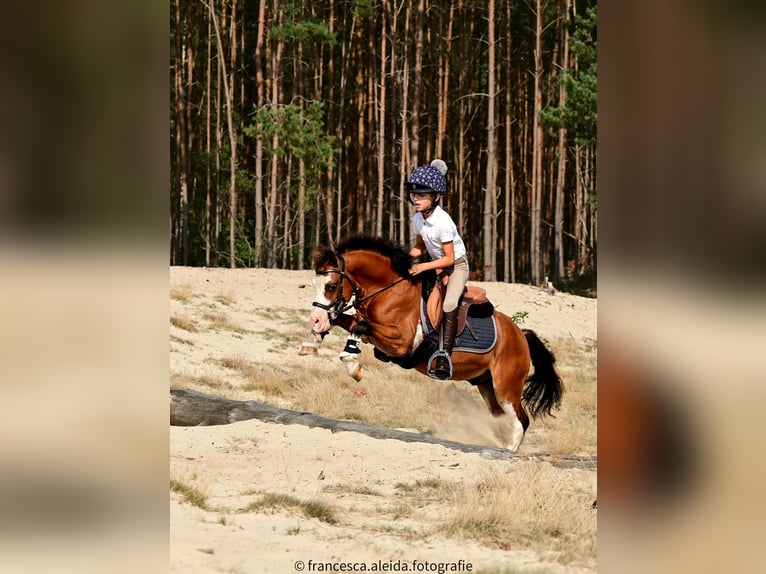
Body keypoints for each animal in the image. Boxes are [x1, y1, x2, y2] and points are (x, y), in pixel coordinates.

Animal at [308, 236, 564, 452]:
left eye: (331, 286)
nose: (315, 318)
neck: (390, 290)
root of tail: (520, 335)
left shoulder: (402, 343)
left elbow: (360, 328)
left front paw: (352, 363)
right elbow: (346, 320)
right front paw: (314, 338)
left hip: (506, 388)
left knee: (521, 421)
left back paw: (509, 452)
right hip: (487, 385)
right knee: (502, 418)